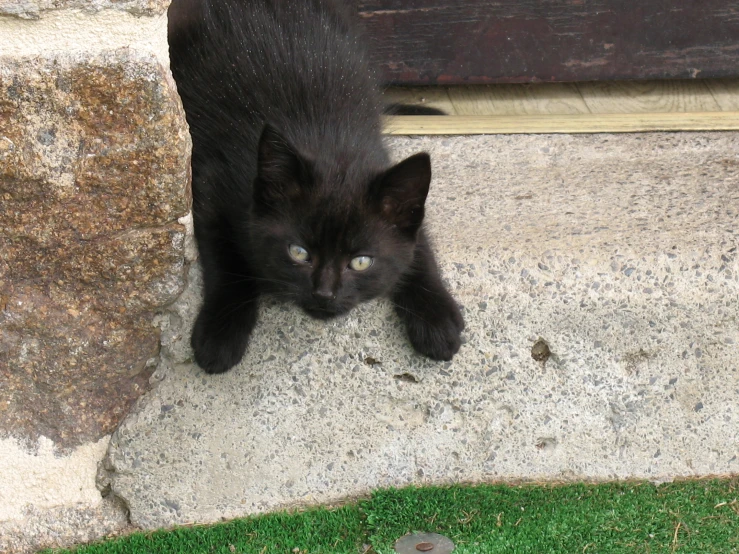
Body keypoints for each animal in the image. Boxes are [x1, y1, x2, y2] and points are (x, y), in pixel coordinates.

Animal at [171, 0, 466, 374]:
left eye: (361, 262)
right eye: (298, 253)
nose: (325, 293)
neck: (328, 144)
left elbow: (419, 246)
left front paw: (437, 318)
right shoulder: (212, 183)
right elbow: (225, 257)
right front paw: (220, 333)